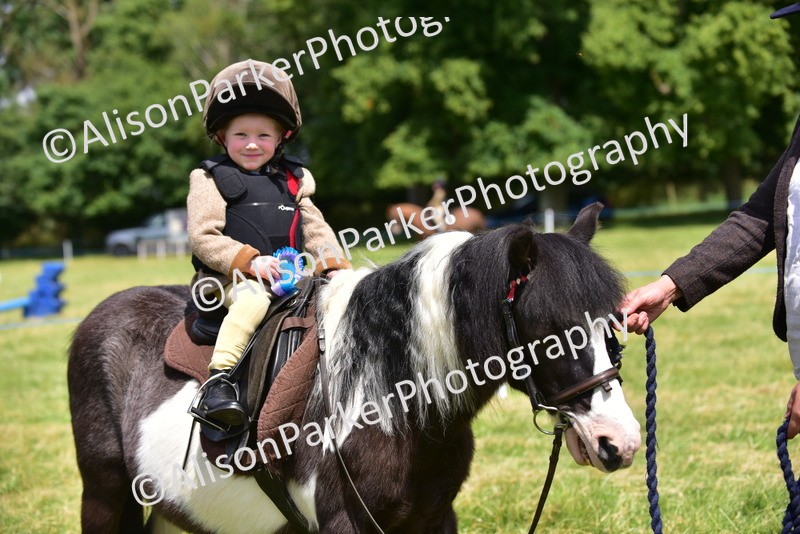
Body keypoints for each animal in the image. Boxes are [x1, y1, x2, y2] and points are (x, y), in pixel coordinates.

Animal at [68, 203, 641, 533]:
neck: (396, 405)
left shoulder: (434, 519)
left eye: (613, 326)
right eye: (552, 331)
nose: (620, 441)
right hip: (104, 493)